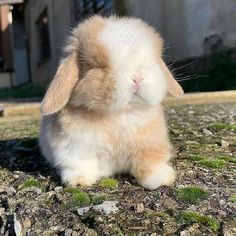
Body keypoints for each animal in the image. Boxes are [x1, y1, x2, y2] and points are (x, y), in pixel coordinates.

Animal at [38, 15, 183, 190]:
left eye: (153, 60)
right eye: (97, 66)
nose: (137, 77)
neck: (118, 114)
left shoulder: (150, 143)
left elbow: (149, 160)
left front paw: (161, 178)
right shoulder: (74, 147)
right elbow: (79, 163)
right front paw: (79, 181)